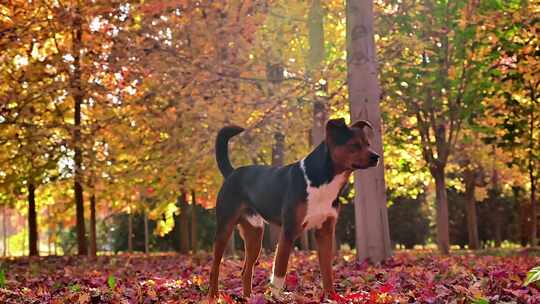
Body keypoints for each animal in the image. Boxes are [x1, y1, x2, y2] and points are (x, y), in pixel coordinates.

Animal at [207, 117, 380, 300]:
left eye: (367, 144)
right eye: (354, 145)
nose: (376, 157)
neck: (323, 181)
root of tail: (232, 173)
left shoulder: (325, 232)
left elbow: (327, 272)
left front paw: (331, 297)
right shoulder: (289, 231)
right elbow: (279, 271)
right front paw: (276, 298)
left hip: (255, 233)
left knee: (246, 271)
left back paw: (249, 298)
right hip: (225, 228)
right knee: (215, 268)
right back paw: (213, 296)